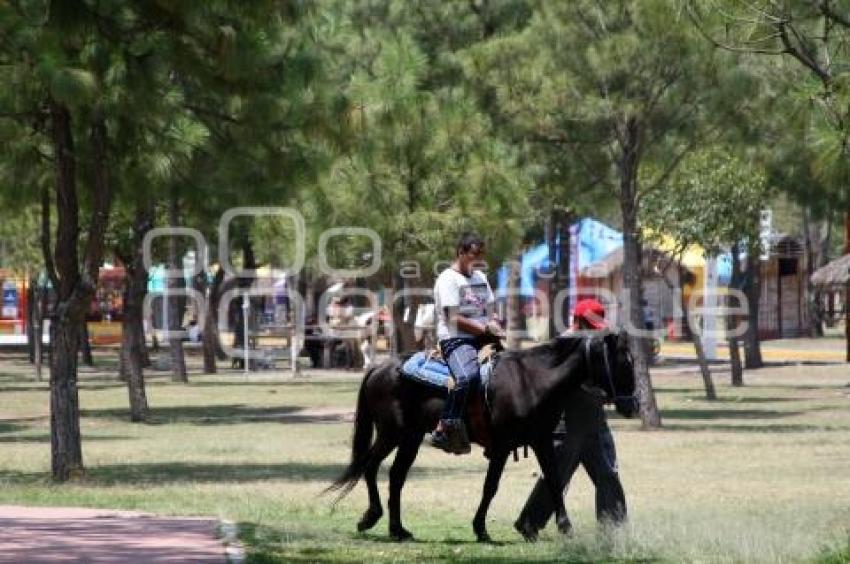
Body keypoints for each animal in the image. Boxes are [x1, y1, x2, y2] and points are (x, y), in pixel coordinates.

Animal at [328, 330, 632, 540]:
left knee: (395, 477)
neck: (531, 381)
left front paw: (566, 529)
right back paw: (371, 517)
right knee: (370, 466)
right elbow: (490, 487)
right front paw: (480, 528)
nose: (630, 405)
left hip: (410, 438)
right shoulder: (502, 446)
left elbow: (554, 481)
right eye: (623, 363)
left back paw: (398, 529)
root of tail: (378, 367)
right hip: (391, 433)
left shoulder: (541, 440)